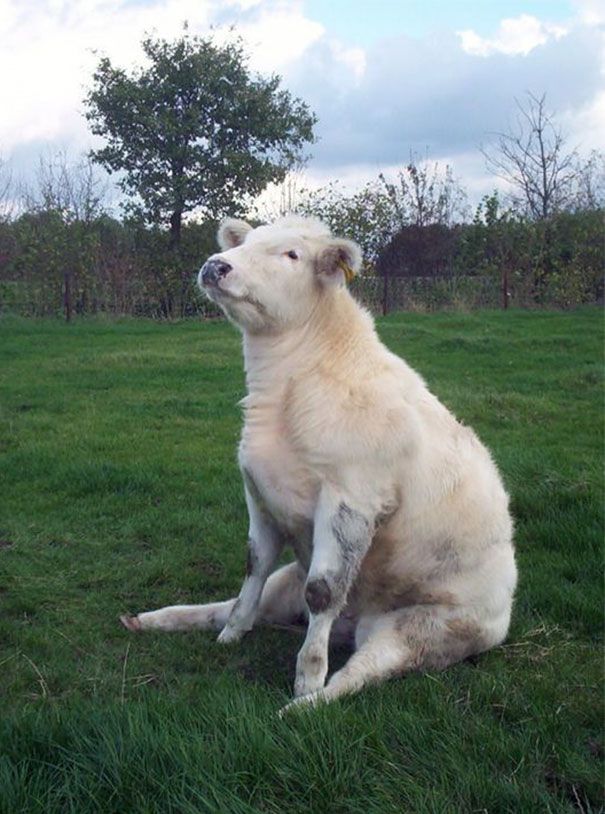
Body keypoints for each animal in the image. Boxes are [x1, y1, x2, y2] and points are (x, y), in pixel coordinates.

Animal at [120, 218, 516, 712]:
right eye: (245, 243)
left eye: (292, 254)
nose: (216, 265)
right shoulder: (259, 491)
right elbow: (253, 565)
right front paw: (233, 632)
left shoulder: (352, 499)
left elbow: (324, 591)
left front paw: (307, 677)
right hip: (288, 584)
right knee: (230, 605)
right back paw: (159, 620)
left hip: (425, 629)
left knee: (363, 671)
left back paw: (304, 707)